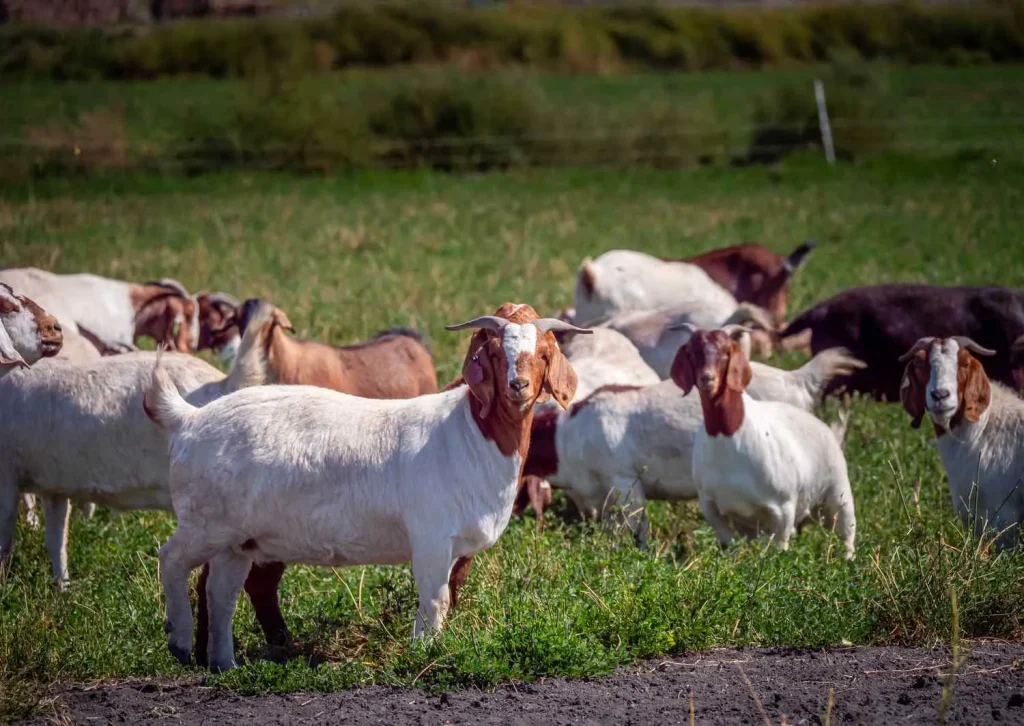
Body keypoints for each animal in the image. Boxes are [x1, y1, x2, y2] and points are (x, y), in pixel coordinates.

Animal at [145, 302, 588, 671]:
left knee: (221, 592)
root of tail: (189, 418)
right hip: (205, 522)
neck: (469, 434)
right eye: (496, 354)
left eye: (543, 354)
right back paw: (180, 641)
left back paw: (224, 664)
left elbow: (448, 598)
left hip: (238, 539)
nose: (519, 386)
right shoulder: (430, 536)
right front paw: (422, 652)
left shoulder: (455, 547)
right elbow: (435, 599)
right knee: (172, 558)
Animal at [675, 328, 856, 558]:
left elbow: (780, 549)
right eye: (692, 353)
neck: (728, 438)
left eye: (726, 353)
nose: (707, 379)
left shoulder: (783, 508)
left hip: (837, 492)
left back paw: (848, 559)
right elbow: (728, 546)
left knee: (847, 531)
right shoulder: (711, 506)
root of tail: (827, 430)